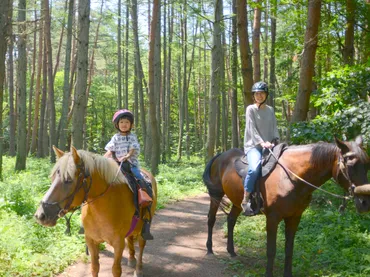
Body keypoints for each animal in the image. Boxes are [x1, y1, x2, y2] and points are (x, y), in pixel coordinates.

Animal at [34, 146, 157, 274]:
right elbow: (94, 267)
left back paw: (138, 269)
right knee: (130, 238)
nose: (41, 215)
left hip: (144, 227)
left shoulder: (118, 244)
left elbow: (116, 270)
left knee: (142, 244)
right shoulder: (91, 241)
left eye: (68, 180)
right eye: (53, 178)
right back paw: (132, 259)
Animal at [202, 136, 370, 276]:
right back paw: (209, 249)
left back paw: (231, 251)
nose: (364, 203)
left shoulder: (295, 217)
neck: (291, 177)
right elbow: (271, 250)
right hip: (216, 196)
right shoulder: (272, 218)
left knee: (231, 221)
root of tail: (220, 156)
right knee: (211, 219)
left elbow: (289, 249)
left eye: (367, 165)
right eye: (350, 165)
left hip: (237, 202)